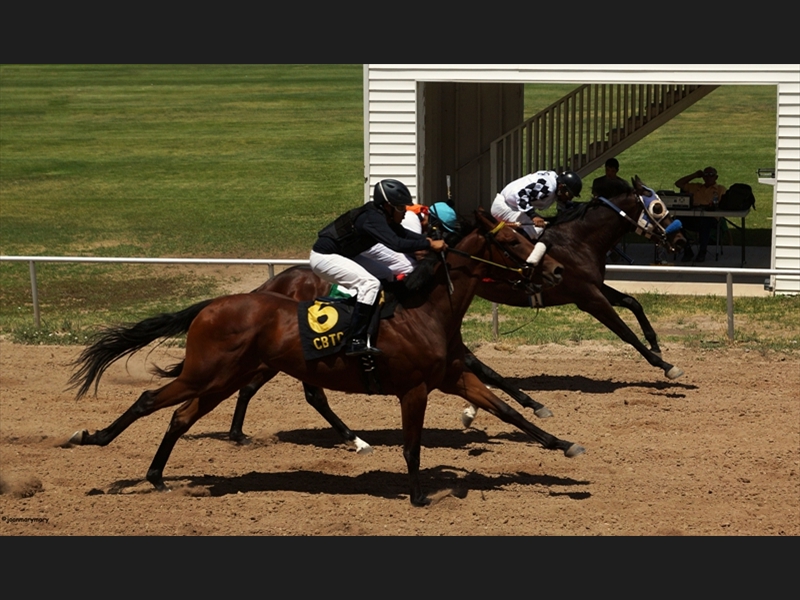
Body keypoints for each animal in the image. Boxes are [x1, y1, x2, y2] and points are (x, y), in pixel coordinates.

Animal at [65, 209, 572, 504]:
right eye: (513, 242)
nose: (555, 270)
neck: (425, 307)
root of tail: (215, 304)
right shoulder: (414, 389)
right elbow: (411, 446)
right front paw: (418, 497)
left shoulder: (450, 375)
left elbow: (506, 408)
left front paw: (562, 442)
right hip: (207, 372)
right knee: (150, 400)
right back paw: (94, 438)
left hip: (225, 378)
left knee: (183, 416)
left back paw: (158, 474)